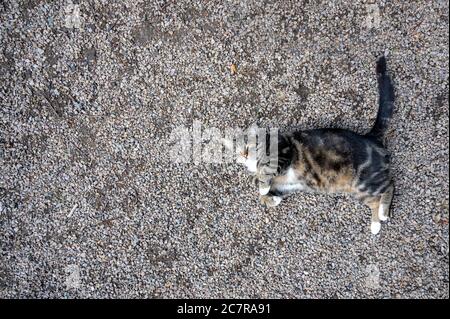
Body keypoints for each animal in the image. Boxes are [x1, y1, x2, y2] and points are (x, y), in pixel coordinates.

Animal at [223, 56, 396, 235]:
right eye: (238, 152)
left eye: (248, 147)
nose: (244, 156)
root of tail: (369, 136)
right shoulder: (282, 186)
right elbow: (260, 188)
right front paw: (272, 199)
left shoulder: (283, 152)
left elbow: (264, 174)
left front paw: (263, 187)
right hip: (358, 190)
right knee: (374, 200)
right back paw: (375, 224)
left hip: (365, 180)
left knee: (390, 185)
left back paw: (383, 213)